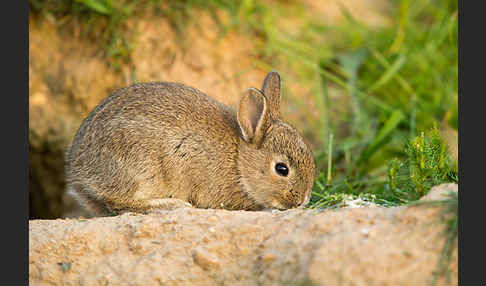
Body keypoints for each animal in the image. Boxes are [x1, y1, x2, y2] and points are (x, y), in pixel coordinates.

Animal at [65, 70, 316, 216]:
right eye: (281, 169)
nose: (302, 201)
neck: (239, 161)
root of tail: (79, 174)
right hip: (138, 166)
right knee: (118, 203)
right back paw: (174, 205)